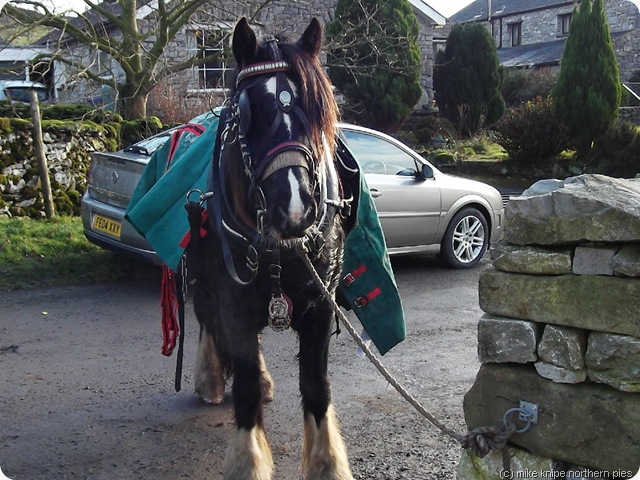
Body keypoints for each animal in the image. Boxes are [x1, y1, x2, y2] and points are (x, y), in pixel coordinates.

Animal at [185, 16, 356, 478]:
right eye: (244, 111)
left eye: (319, 110)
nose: (295, 208)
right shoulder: (235, 303)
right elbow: (242, 384)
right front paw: (247, 462)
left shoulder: (319, 307)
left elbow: (316, 386)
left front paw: (327, 464)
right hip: (203, 282)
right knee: (207, 323)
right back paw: (209, 378)